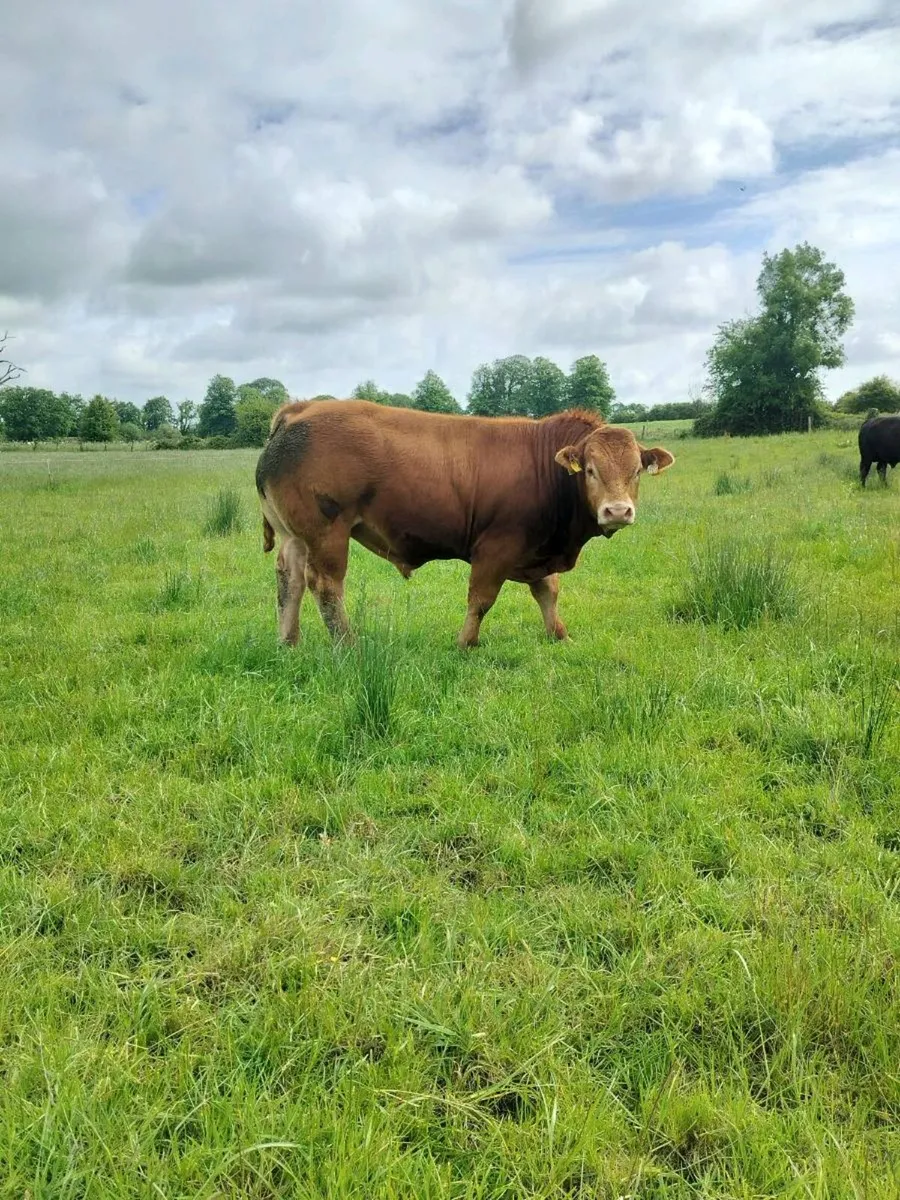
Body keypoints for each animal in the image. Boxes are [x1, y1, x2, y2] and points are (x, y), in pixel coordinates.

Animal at [255, 399, 675, 649]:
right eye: (589, 470)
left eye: (636, 470)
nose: (617, 511)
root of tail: (299, 410)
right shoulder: (497, 547)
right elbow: (481, 599)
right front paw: (466, 643)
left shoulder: (537, 549)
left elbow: (548, 592)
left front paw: (558, 635)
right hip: (327, 533)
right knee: (324, 585)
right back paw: (348, 644)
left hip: (295, 537)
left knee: (289, 581)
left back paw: (288, 642)